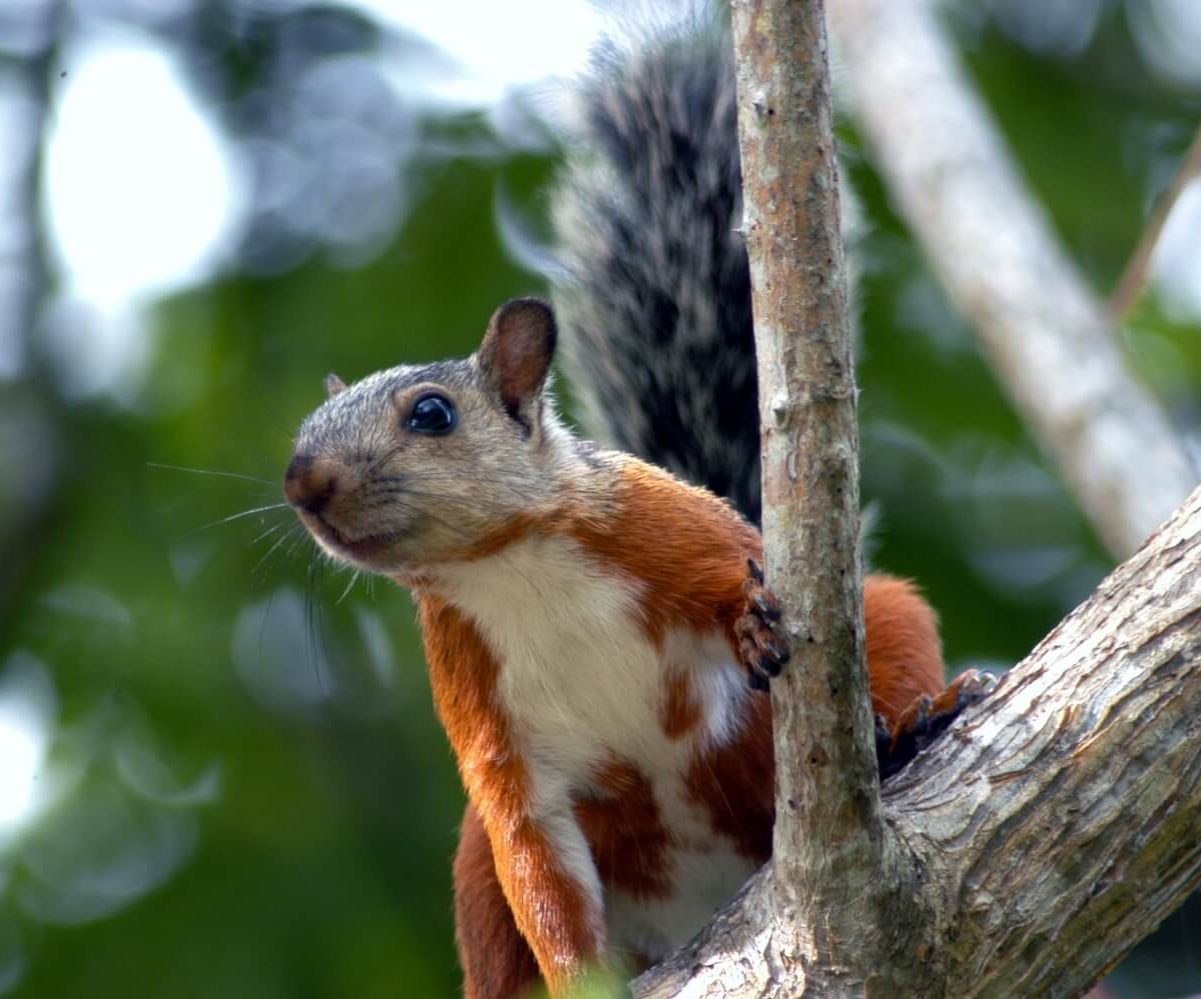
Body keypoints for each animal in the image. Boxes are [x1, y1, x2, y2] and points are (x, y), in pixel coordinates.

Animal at [283, 15, 994, 999]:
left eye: (431, 413)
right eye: (300, 431)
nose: (301, 482)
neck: (510, 570)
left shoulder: (660, 525)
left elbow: (732, 566)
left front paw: (755, 623)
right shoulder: (495, 739)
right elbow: (536, 866)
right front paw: (577, 979)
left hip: (880, 624)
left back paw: (914, 730)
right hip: (474, 865)